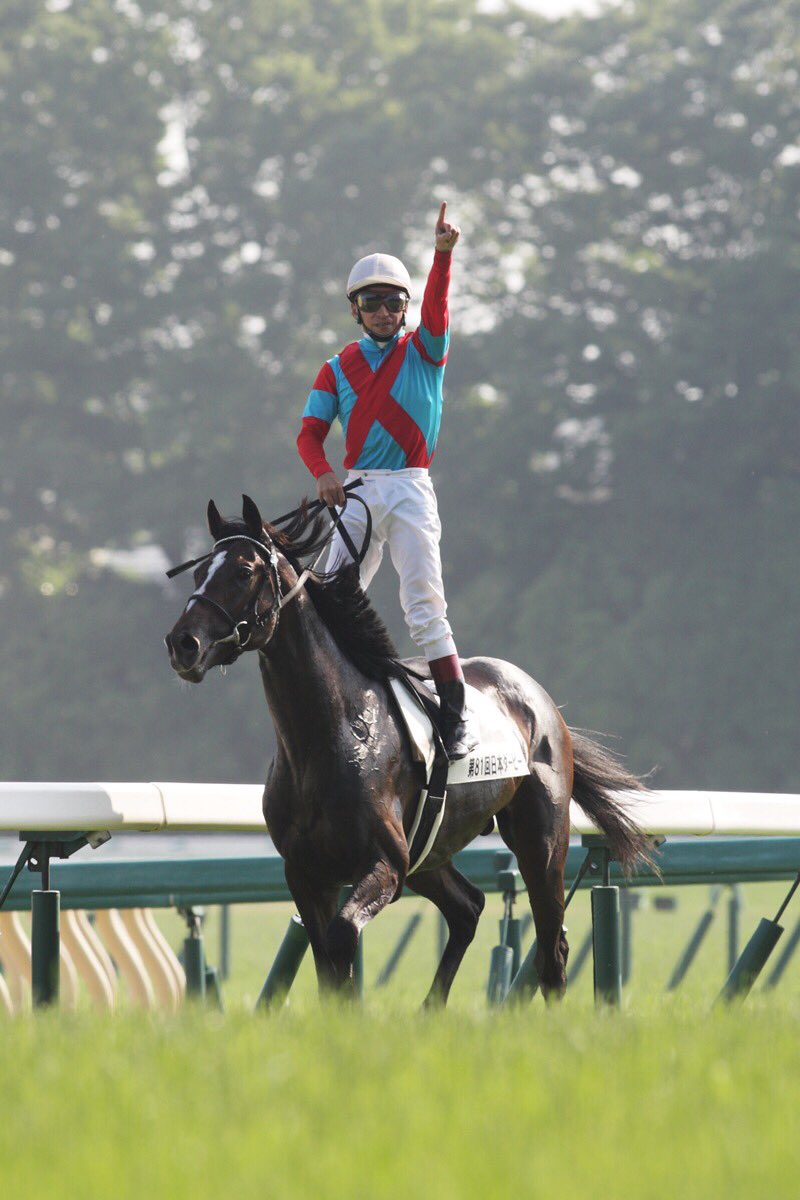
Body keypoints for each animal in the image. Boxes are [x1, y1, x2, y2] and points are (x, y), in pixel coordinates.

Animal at [165, 494, 650, 1003]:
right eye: (199, 575)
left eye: (243, 571)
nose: (182, 643)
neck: (330, 736)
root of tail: (542, 701)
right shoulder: (306, 873)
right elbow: (326, 964)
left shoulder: (385, 862)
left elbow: (341, 939)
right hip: (430, 854)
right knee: (468, 908)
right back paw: (429, 1009)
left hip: (541, 842)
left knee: (552, 952)